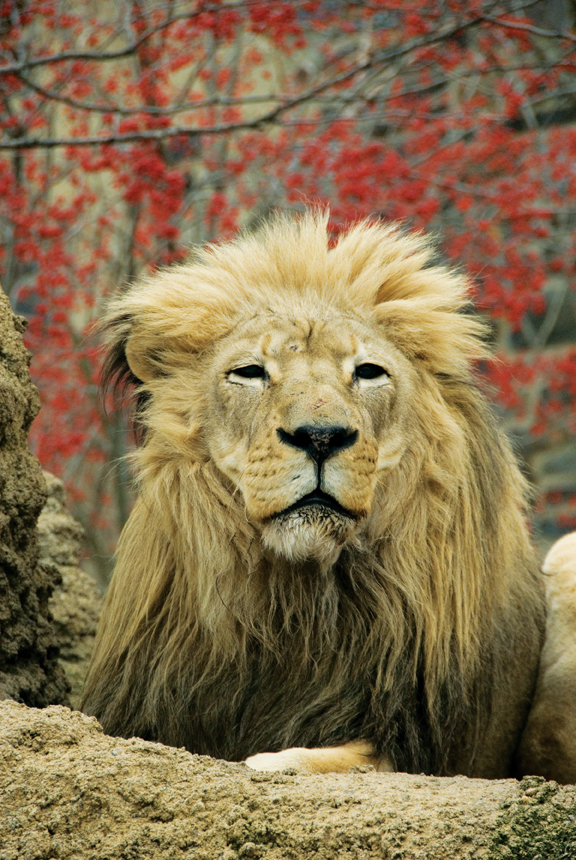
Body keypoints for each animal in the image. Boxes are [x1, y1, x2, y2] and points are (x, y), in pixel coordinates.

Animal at [82, 210, 547, 779]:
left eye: (368, 372)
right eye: (250, 372)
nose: (321, 436)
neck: (293, 605)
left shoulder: (414, 738)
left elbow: (324, 757)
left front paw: (270, 760)